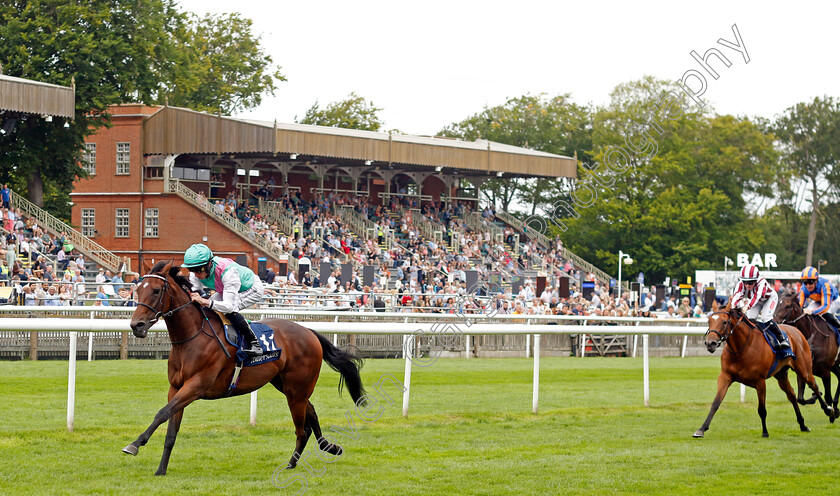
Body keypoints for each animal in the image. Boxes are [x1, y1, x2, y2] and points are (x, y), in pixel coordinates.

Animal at [120, 262, 364, 474]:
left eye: (156, 290)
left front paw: (134, 444)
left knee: (302, 428)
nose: (136, 325)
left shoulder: (196, 386)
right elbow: (171, 428)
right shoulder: (176, 387)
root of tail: (309, 331)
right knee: (310, 413)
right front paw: (161, 470)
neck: (192, 337)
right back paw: (326, 448)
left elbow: (162, 413)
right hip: (287, 385)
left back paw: (296, 461)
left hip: (297, 389)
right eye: (137, 290)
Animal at [692, 302, 832, 438]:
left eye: (724, 322)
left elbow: (762, 409)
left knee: (814, 385)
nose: (710, 343)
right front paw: (701, 429)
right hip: (781, 374)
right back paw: (803, 425)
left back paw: (828, 409)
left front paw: (765, 432)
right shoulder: (725, 376)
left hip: (804, 370)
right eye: (709, 321)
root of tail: (796, 330)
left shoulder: (760, 382)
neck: (741, 348)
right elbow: (716, 403)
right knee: (791, 395)